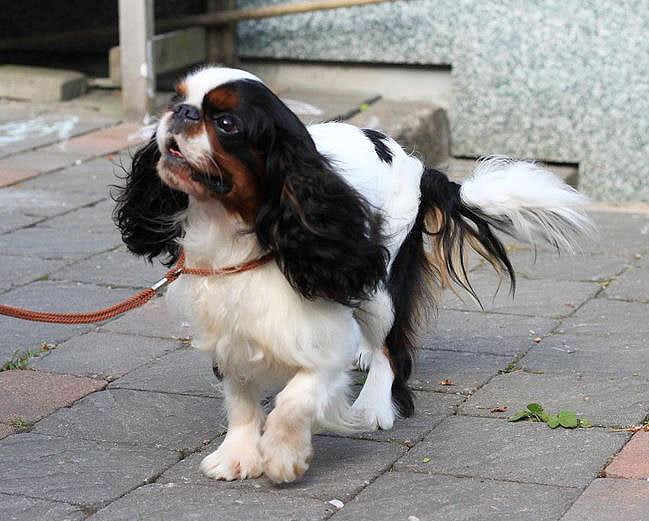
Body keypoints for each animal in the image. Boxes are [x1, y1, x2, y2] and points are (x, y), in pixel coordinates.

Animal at [112, 66, 592, 484]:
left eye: (226, 123)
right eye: (175, 99)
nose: (181, 112)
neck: (237, 232)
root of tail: (419, 165)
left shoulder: (325, 334)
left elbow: (296, 396)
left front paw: (284, 455)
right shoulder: (228, 328)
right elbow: (240, 399)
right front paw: (238, 455)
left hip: (380, 285)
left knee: (389, 349)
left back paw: (374, 405)